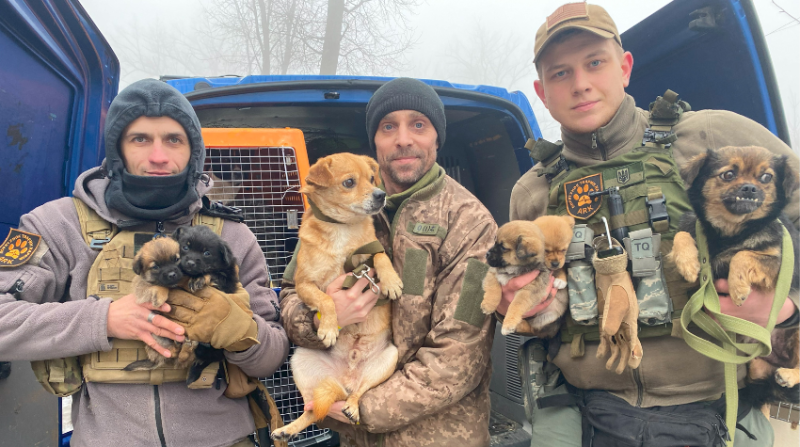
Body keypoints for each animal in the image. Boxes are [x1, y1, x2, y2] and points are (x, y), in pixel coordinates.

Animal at [272, 154, 404, 440]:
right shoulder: (304, 284)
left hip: (388, 360)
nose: (381, 195)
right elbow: (326, 299)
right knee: (312, 410)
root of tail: (346, 380)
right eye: (349, 182)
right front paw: (330, 328)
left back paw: (352, 408)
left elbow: (381, 256)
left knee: (359, 393)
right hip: (300, 361)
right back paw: (287, 430)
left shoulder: (371, 253)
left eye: (372, 178)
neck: (343, 230)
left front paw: (391, 282)